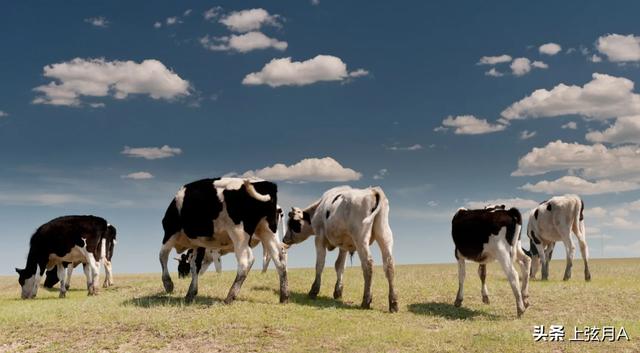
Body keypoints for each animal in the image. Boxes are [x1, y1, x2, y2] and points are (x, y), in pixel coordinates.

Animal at [159, 177, 288, 304]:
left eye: (180, 267)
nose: (181, 276)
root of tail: (266, 183)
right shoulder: (199, 244)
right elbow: (195, 266)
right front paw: (191, 293)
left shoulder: (170, 233)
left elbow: (162, 256)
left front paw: (168, 284)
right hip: (267, 230)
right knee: (279, 258)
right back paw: (284, 297)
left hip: (239, 233)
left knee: (247, 260)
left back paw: (230, 297)